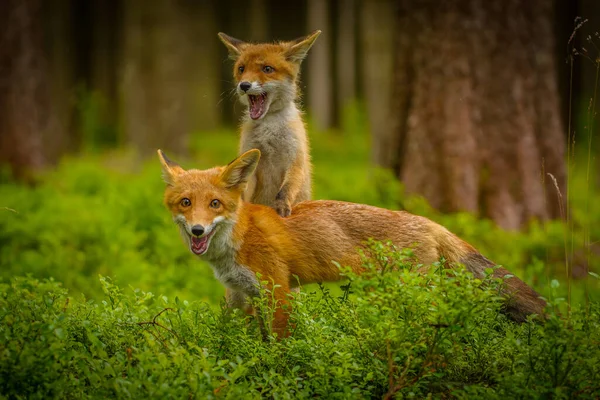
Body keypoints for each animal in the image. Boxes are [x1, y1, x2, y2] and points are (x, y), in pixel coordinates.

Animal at [157, 149, 548, 338]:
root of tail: (431, 222)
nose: (197, 231)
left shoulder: (277, 290)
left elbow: (279, 344)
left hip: (411, 296)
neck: (239, 236)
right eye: (186, 203)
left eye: (215, 204)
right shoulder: (247, 295)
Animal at [218, 30, 322, 219]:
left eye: (267, 69)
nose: (244, 85)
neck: (269, 127)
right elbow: (244, 191)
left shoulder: (295, 160)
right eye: (241, 69)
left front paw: (281, 207)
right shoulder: (251, 158)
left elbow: (284, 191)